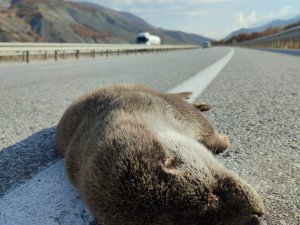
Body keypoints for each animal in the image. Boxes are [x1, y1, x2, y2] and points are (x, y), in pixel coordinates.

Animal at [56, 83, 268, 225]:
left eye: (217, 193)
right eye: (205, 223)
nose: (256, 217)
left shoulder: (165, 105)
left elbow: (209, 133)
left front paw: (224, 139)